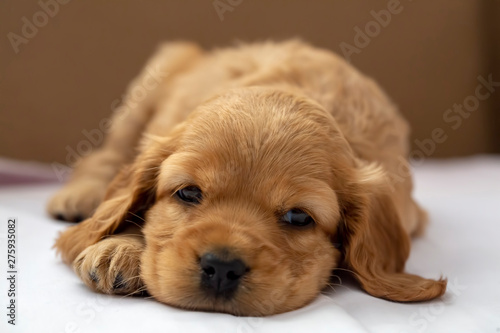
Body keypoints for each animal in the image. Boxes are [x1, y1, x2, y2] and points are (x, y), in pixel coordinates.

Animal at [48, 40, 448, 316]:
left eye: (299, 217)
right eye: (188, 193)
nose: (222, 268)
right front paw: (118, 248)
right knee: (105, 155)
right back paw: (78, 196)